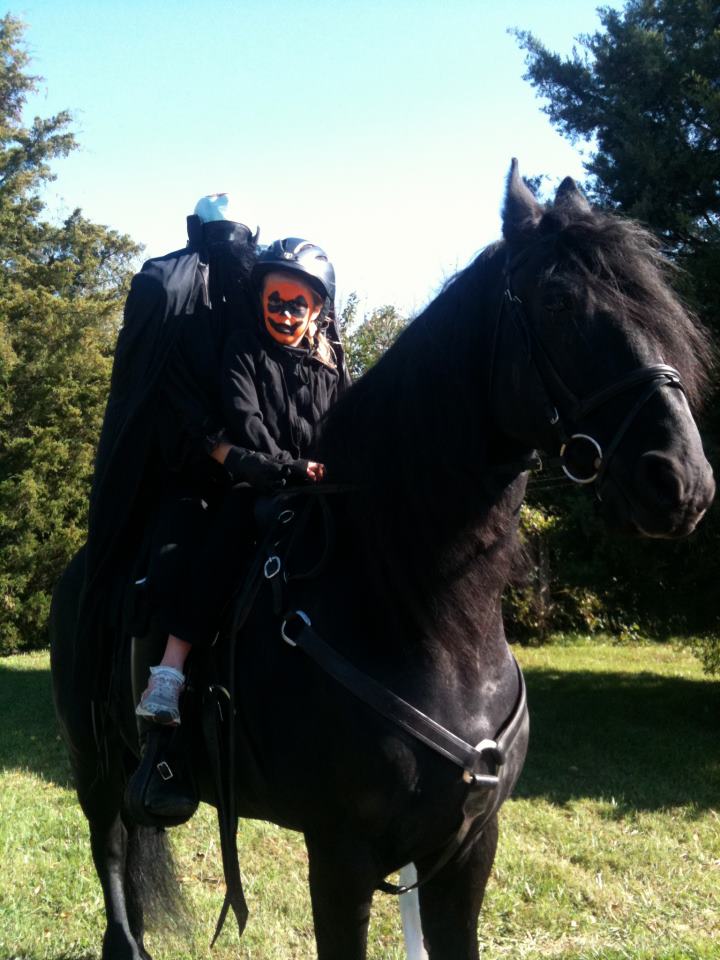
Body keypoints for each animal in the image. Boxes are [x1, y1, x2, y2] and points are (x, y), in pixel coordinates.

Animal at [50, 160, 715, 960]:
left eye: (656, 300)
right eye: (557, 300)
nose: (680, 480)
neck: (422, 619)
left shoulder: (466, 850)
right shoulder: (340, 856)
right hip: (96, 764)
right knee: (113, 855)